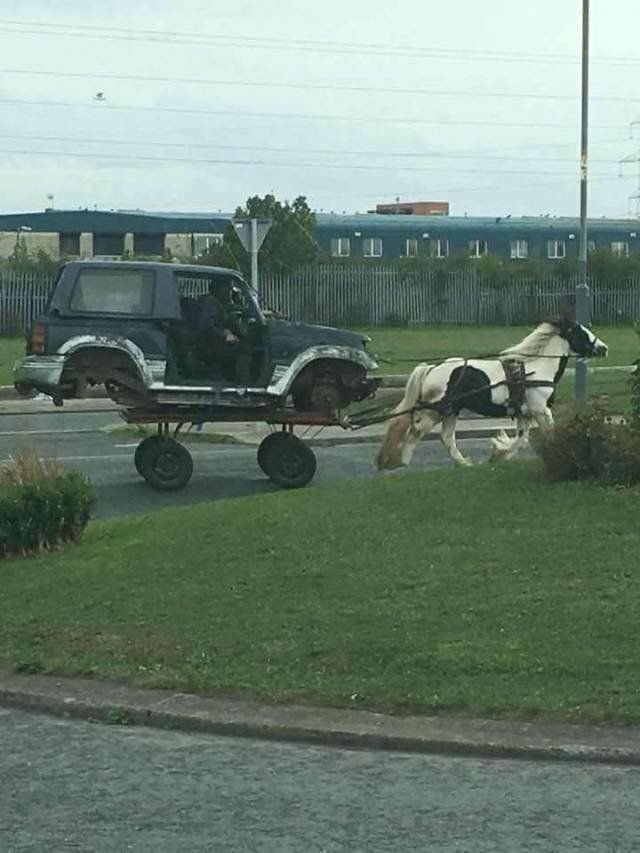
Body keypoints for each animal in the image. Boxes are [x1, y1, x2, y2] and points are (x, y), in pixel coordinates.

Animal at [376, 318, 608, 470]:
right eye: (581, 332)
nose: (604, 348)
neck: (535, 368)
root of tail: (432, 368)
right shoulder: (540, 410)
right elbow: (549, 431)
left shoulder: (524, 413)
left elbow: (522, 438)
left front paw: (499, 454)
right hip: (437, 410)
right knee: (417, 430)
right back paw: (402, 461)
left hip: (451, 410)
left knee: (446, 438)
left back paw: (464, 463)